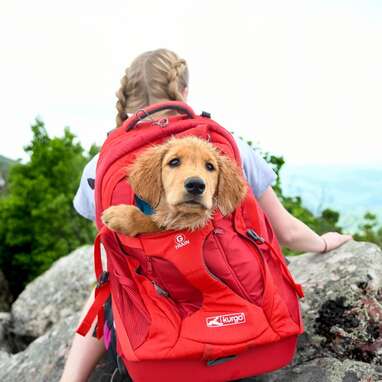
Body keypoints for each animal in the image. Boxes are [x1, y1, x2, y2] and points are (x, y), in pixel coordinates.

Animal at [100, 136, 248, 234]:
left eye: (210, 166)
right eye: (174, 162)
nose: (196, 185)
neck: (183, 216)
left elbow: (155, 223)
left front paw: (122, 216)